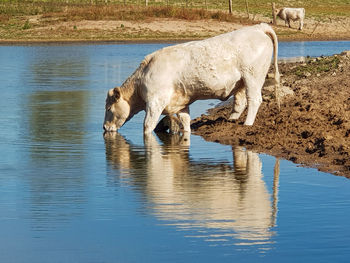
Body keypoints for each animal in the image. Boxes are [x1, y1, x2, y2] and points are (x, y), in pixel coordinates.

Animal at [103, 22, 278, 134]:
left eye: (109, 108)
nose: (104, 127)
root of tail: (258, 27)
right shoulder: (181, 103)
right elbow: (185, 123)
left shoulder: (155, 102)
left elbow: (147, 127)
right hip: (241, 82)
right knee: (240, 102)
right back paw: (230, 121)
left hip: (253, 77)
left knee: (254, 100)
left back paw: (247, 124)